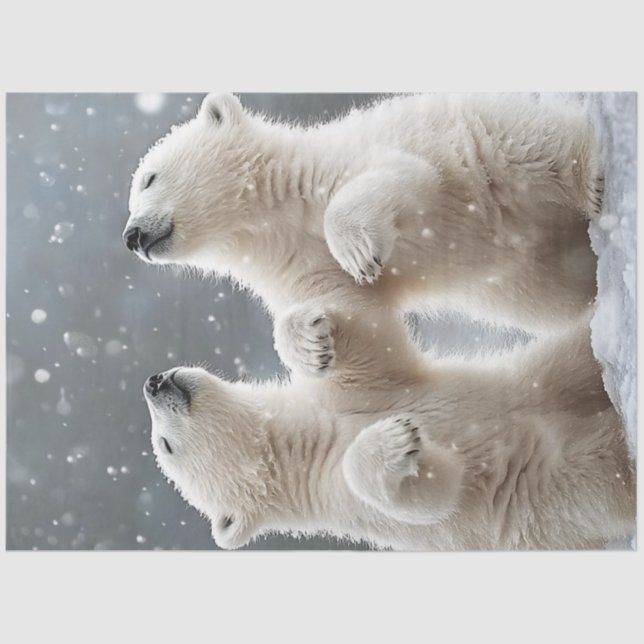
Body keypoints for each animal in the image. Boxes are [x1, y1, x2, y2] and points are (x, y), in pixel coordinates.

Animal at [124, 92, 603, 377]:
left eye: (149, 178)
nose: (131, 235)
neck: (277, 207)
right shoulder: (292, 259)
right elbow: (356, 314)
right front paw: (312, 344)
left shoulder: (341, 169)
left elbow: (403, 176)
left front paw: (359, 252)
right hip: (527, 279)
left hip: (486, 131)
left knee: (534, 145)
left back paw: (594, 177)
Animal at [142, 308, 634, 550]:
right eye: (165, 446)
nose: (153, 382)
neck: (308, 440)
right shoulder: (347, 501)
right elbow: (438, 493)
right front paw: (398, 440)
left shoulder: (357, 394)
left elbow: (374, 355)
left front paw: (311, 336)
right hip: (557, 498)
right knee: (598, 473)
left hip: (524, 382)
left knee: (569, 358)